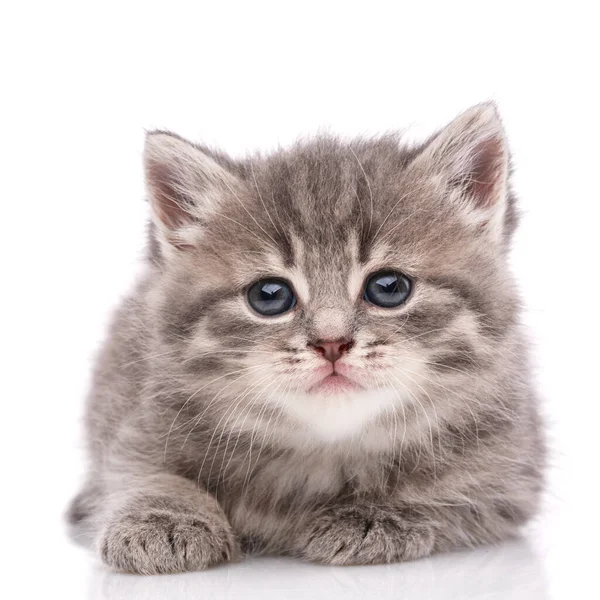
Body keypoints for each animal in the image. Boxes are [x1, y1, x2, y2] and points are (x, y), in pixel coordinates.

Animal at [68, 104, 548, 576]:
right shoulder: (137, 420)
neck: (320, 454)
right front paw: (163, 517)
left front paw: (375, 514)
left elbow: (455, 494)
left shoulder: (511, 475)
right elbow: (143, 473)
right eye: (269, 295)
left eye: (389, 287)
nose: (331, 342)